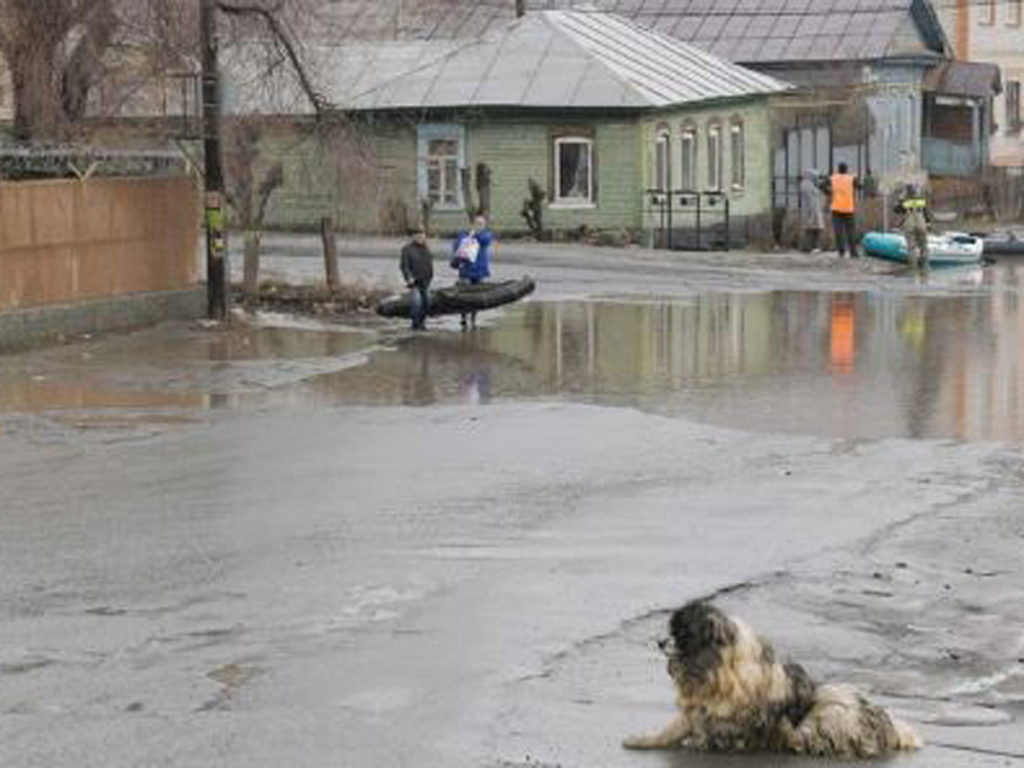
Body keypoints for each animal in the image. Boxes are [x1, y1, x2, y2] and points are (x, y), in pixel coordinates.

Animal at [618, 602, 925, 757]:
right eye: (671, 629)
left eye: (682, 633)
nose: (659, 642)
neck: (717, 667)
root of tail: (888, 727)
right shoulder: (696, 710)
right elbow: (673, 728)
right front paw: (644, 740)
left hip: (830, 708)